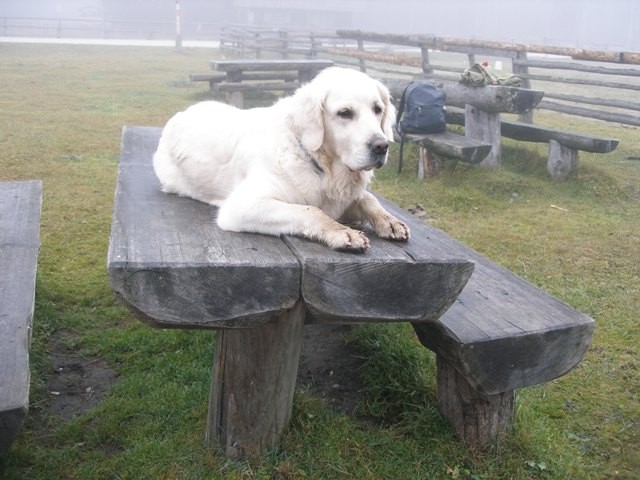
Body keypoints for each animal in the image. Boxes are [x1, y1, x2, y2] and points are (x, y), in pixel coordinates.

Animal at [152, 68, 408, 255]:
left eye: (378, 109)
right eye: (345, 113)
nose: (381, 146)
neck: (320, 166)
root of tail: (181, 114)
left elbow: (368, 198)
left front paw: (389, 220)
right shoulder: (242, 206)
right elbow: (312, 210)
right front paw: (341, 232)